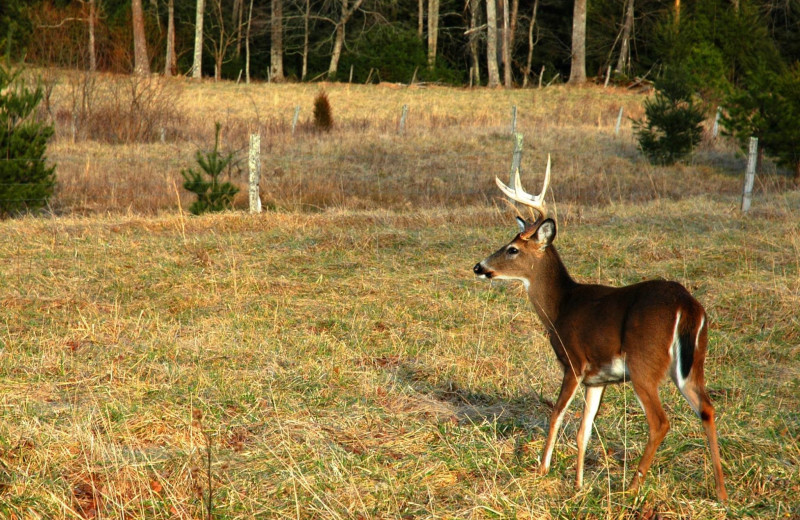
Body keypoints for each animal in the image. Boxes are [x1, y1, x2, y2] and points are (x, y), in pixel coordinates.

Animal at [472, 156, 728, 502]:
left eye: (512, 249)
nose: (479, 267)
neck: (561, 306)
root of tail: (687, 306)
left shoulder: (574, 362)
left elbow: (556, 415)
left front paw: (542, 470)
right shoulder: (598, 378)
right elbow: (584, 431)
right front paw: (579, 484)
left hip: (644, 362)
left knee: (660, 421)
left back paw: (632, 487)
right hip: (693, 363)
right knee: (707, 409)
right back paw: (721, 491)